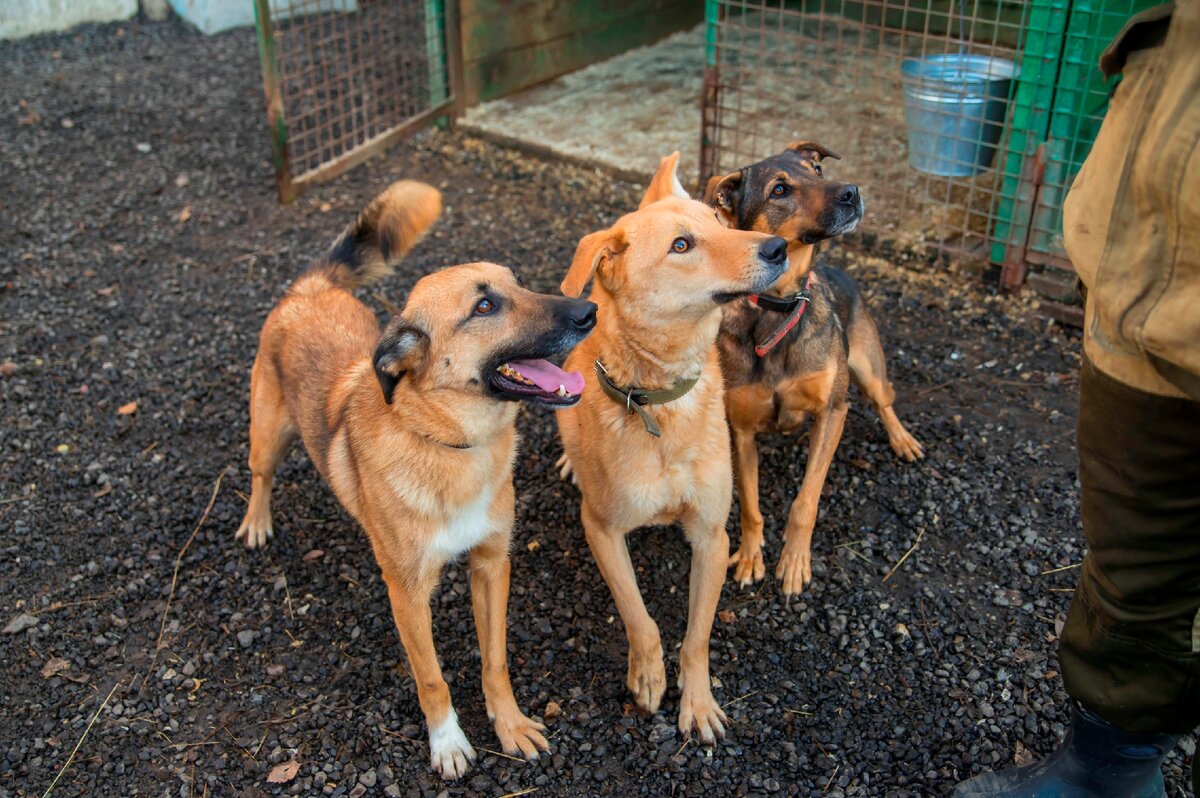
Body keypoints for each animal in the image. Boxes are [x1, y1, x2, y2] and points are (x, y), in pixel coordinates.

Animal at [552, 153, 787, 739]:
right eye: (682, 245)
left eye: (720, 223)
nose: (777, 248)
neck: (660, 401)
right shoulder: (601, 529)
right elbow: (640, 617)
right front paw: (648, 675)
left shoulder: (711, 536)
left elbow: (697, 636)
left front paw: (697, 701)